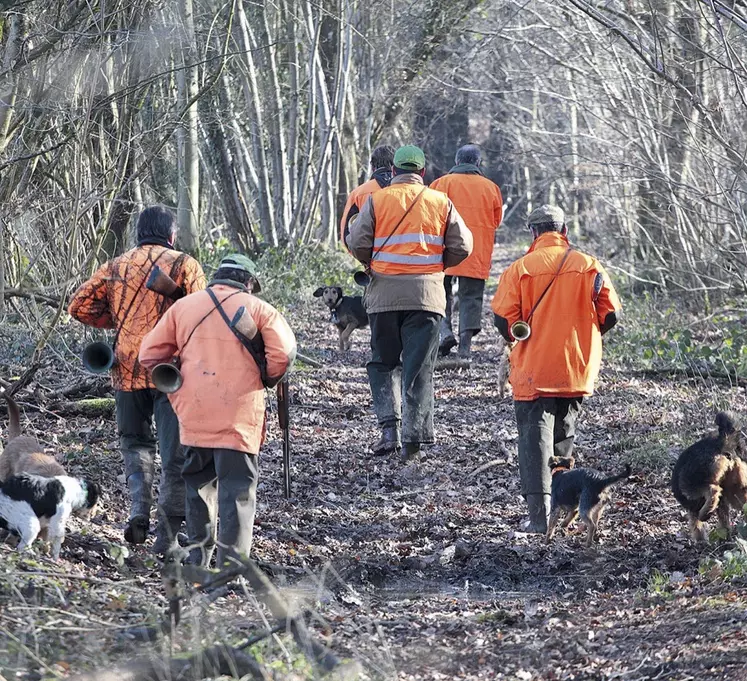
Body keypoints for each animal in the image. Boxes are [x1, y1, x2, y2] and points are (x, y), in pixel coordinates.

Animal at [672, 410, 747, 540]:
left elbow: (696, 525)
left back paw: (705, 513)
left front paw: (700, 539)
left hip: (692, 484)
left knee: (712, 490)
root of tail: (720, 443)